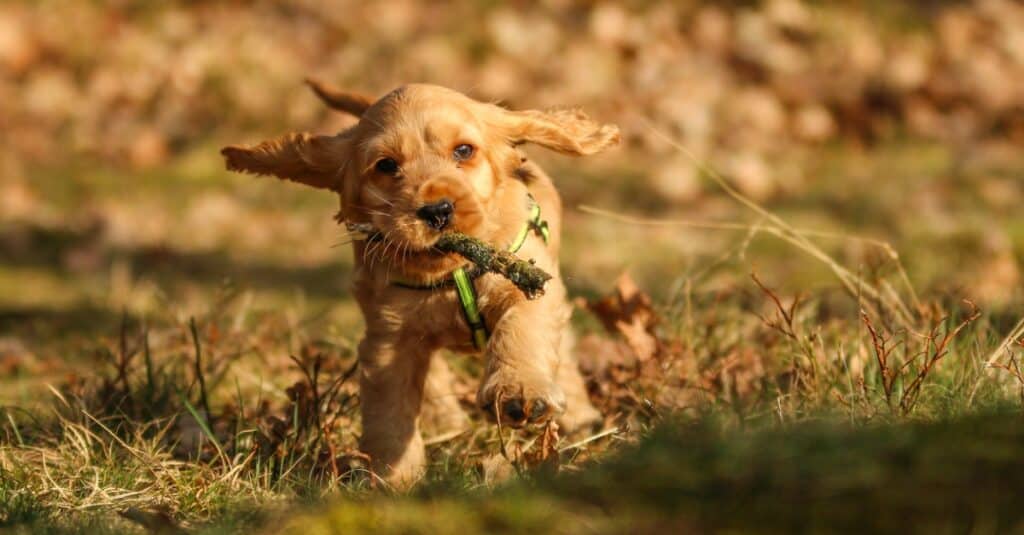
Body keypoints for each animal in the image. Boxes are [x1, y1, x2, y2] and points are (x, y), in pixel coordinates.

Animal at [222, 80, 614, 485]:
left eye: (463, 150)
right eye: (386, 165)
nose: (437, 210)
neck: (451, 272)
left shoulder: (526, 287)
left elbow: (521, 331)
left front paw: (519, 391)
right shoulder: (390, 338)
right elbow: (390, 410)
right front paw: (393, 477)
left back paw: (580, 418)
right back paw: (448, 423)